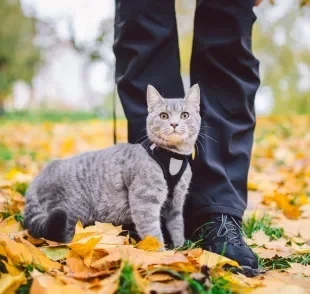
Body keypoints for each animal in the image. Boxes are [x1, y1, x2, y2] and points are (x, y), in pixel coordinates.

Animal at [23, 84, 200, 247]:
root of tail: (38, 178)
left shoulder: (176, 202)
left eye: (184, 115)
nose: (174, 124)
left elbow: (177, 227)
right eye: (164, 115)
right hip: (71, 212)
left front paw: (181, 249)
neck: (172, 158)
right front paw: (161, 254)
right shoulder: (144, 202)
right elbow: (153, 233)